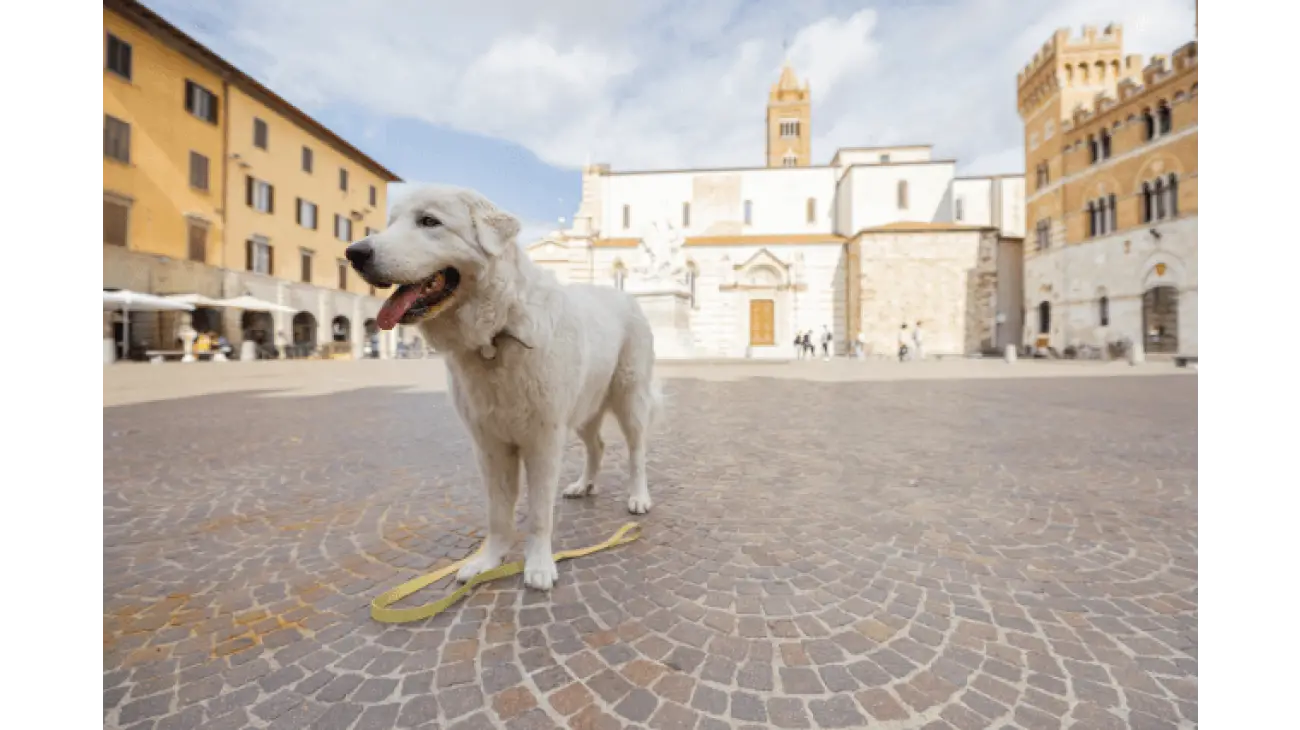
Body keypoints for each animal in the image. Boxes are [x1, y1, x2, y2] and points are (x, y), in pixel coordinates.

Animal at [345, 184, 660, 587]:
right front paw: (489, 561)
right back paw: (583, 485)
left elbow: (539, 513)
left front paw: (538, 566)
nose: (355, 253)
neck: (496, 335)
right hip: (583, 409)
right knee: (598, 446)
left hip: (630, 399)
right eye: (390, 224)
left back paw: (638, 498)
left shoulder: (543, 441)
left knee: (636, 453)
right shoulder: (490, 445)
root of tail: (624, 295)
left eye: (429, 221)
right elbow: (497, 513)